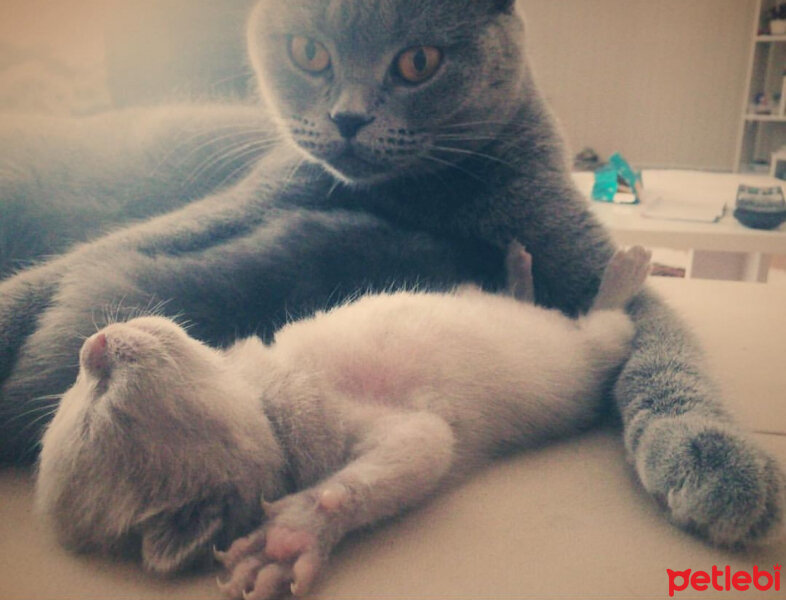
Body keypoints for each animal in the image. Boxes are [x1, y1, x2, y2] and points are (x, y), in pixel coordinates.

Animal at [0, 0, 780, 564]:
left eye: (419, 62)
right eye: (309, 53)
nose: (347, 118)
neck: (425, 197)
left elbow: (667, 352)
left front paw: (713, 453)